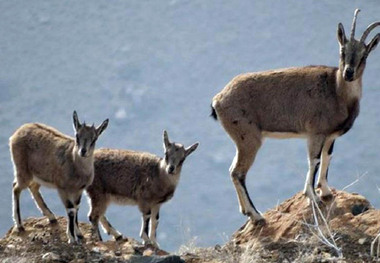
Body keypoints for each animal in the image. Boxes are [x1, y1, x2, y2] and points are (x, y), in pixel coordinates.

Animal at [10, 111, 108, 243]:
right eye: (77, 136)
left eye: (94, 139)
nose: (83, 151)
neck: (75, 165)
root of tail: (17, 132)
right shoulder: (62, 189)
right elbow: (70, 210)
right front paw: (72, 238)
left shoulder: (78, 190)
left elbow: (76, 208)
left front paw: (79, 234)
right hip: (23, 170)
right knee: (16, 187)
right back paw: (20, 225)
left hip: (38, 174)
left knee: (33, 188)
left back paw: (51, 216)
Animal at [211, 9, 380, 226]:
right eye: (343, 51)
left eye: (364, 55)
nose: (348, 73)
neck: (336, 91)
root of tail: (218, 99)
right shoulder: (315, 133)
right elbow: (314, 161)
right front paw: (313, 196)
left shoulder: (330, 136)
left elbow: (327, 158)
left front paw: (325, 192)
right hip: (248, 138)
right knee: (238, 172)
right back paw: (257, 215)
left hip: (242, 140)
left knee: (233, 170)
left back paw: (247, 212)